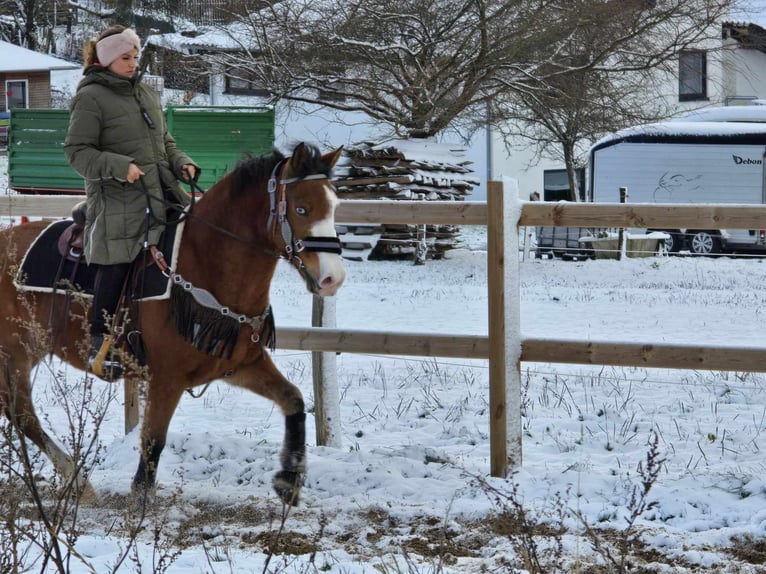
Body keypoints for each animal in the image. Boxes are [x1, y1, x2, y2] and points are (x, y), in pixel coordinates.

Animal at [0, 142, 344, 506]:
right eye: (302, 208)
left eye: (334, 206)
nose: (333, 278)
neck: (204, 266)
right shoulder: (167, 378)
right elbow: (153, 440)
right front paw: (140, 498)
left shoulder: (240, 366)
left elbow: (293, 400)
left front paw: (289, 480)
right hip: (14, 354)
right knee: (22, 415)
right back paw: (77, 480)